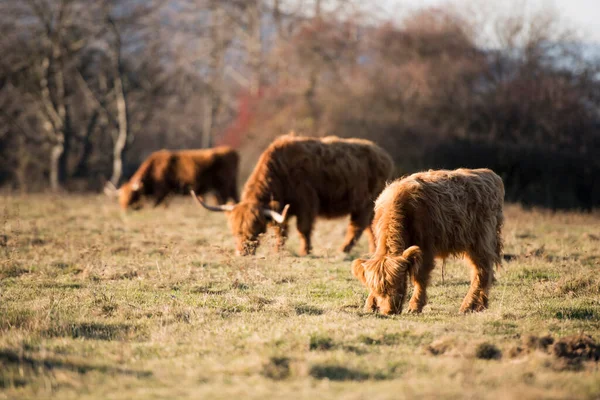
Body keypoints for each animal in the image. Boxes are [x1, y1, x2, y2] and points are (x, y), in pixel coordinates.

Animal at [105, 146, 239, 209]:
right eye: (120, 197)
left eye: (132, 195)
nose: (124, 208)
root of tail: (230, 150)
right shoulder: (167, 193)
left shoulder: (162, 191)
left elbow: (157, 204)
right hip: (230, 185)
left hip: (223, 186)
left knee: (224, 199)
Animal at [191, 133, 394, 255]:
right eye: (234, 232)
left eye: (256, 230)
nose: (243, 252)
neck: (280, 172)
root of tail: (383, 155)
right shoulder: (280, 208)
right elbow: (280, 230)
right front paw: (278, 251)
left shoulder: (307, 204)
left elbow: (303, 229)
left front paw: (306, 251)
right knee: (370, 227)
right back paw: (373, 250)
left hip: (365, 204)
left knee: (357, 227)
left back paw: (342, 250)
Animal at [350, 167, 504, 314]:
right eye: (379, 290)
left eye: (400, 284)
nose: (389, 311)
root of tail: (490, 175)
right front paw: (370, 306)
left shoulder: (426, 248)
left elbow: (420, 278)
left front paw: (415, 307)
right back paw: (480, 306)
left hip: (481, 241)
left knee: (482, 272)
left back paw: (467, 307)